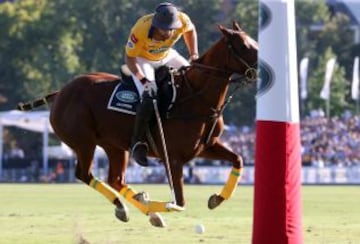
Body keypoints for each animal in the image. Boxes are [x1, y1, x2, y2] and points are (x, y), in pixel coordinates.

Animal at [18, 21, 258, 228]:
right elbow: (179, 203)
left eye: (254, 41)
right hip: (83, 142)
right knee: (84, 174)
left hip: (114, 145)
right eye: (244, 46)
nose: (262, 68)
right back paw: (133, 206)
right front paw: (156, 202)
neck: (196, 97)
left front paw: (216, 198)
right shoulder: (174, 158)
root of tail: (61, 92)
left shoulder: (205, 146)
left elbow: (238, 159)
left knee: (115, 179)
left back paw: (138, 209)